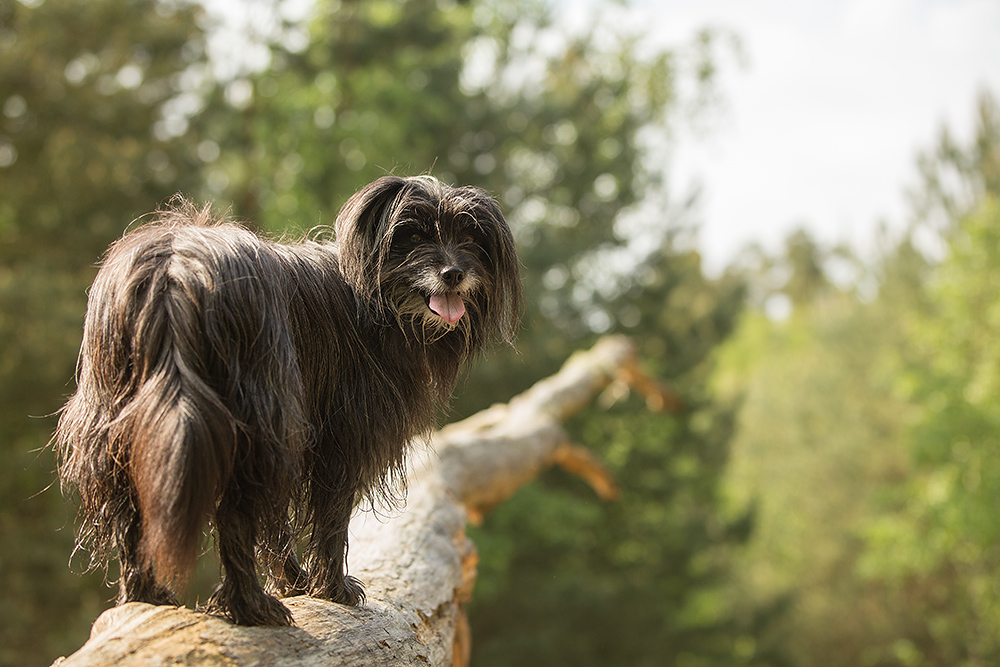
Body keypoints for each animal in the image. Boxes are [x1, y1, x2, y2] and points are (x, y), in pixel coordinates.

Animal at [54, 176, 524, 628]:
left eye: (469, 237)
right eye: (412, 235)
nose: (453, 273)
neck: (376, 303)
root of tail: (176, 266)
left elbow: (279, 525)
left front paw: (296, 583)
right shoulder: (341, 437)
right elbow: (330, 517)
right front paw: (331, 589)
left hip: (115, 422)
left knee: (133, 513)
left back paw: (146, 594)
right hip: (257, 422)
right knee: (235, 516)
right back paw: (249, 607)